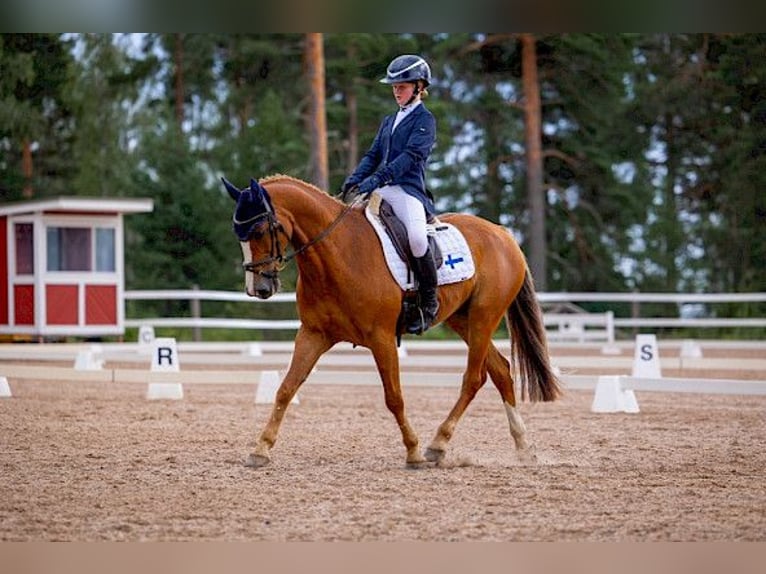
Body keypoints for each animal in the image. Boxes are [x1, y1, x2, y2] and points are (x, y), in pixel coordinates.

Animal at [222, 174, 564, 468]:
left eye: (259, 231)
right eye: (239, 235)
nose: (259, 289)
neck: (338, 254)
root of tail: (503, 234)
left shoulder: (381, 337)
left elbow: (394, 397)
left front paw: (413, 452)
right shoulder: (313, 335)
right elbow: (286, 388)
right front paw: (260, 449)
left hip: (484, 316)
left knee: (474, 378)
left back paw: (437, 444)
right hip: (462, 319)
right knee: (500, 371)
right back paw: (522, 448)